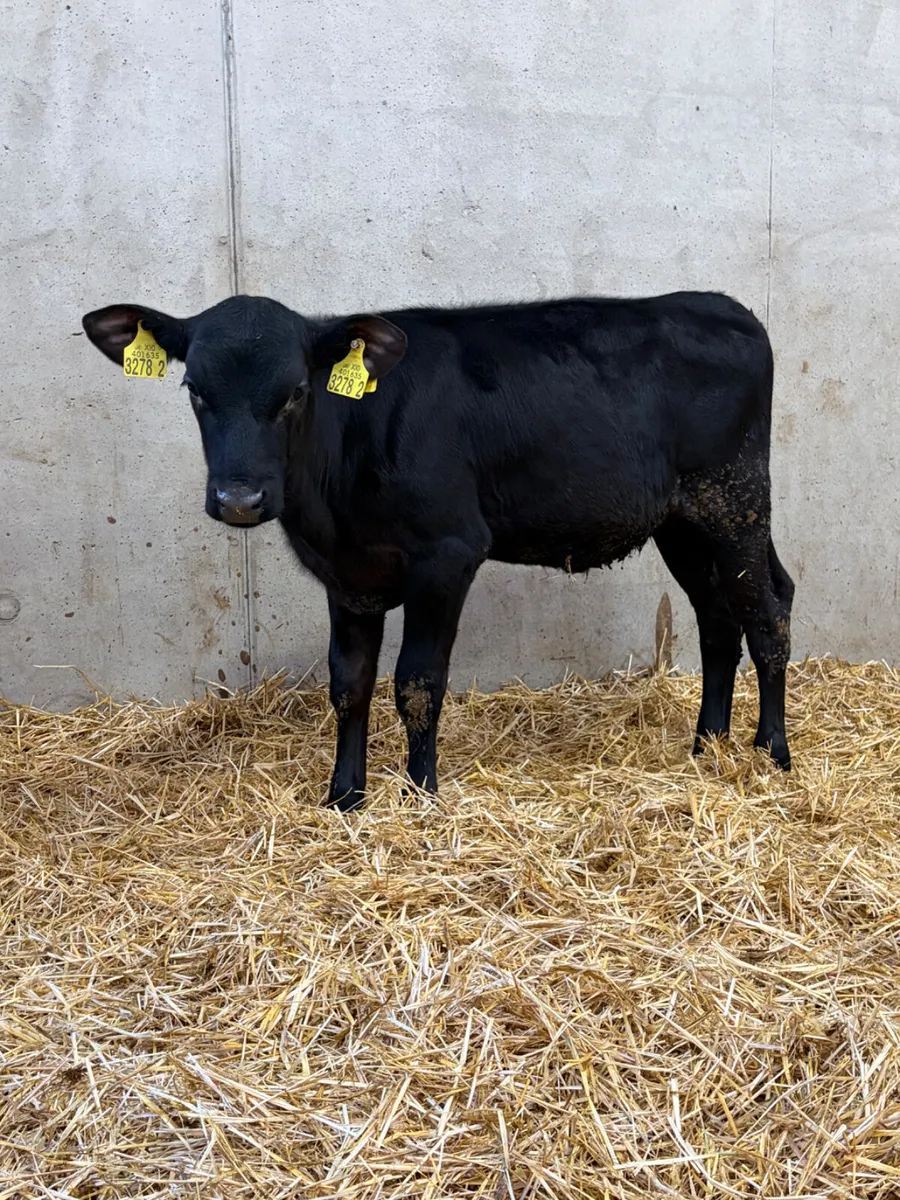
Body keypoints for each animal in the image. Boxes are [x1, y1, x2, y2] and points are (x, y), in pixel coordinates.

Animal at [82, 291, 794, 810]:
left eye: (296, 392)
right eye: (196, 391)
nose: (239, 499)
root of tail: (725, 305)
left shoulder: (448, 556)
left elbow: (418, 682)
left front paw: (418, 794)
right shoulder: (348, 576)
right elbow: (350, 684)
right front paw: (344, 797)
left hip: (735, 499)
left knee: (768, 614)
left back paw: (772, 753)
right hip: (684, 522)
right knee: (719, 619)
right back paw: (706, 746)